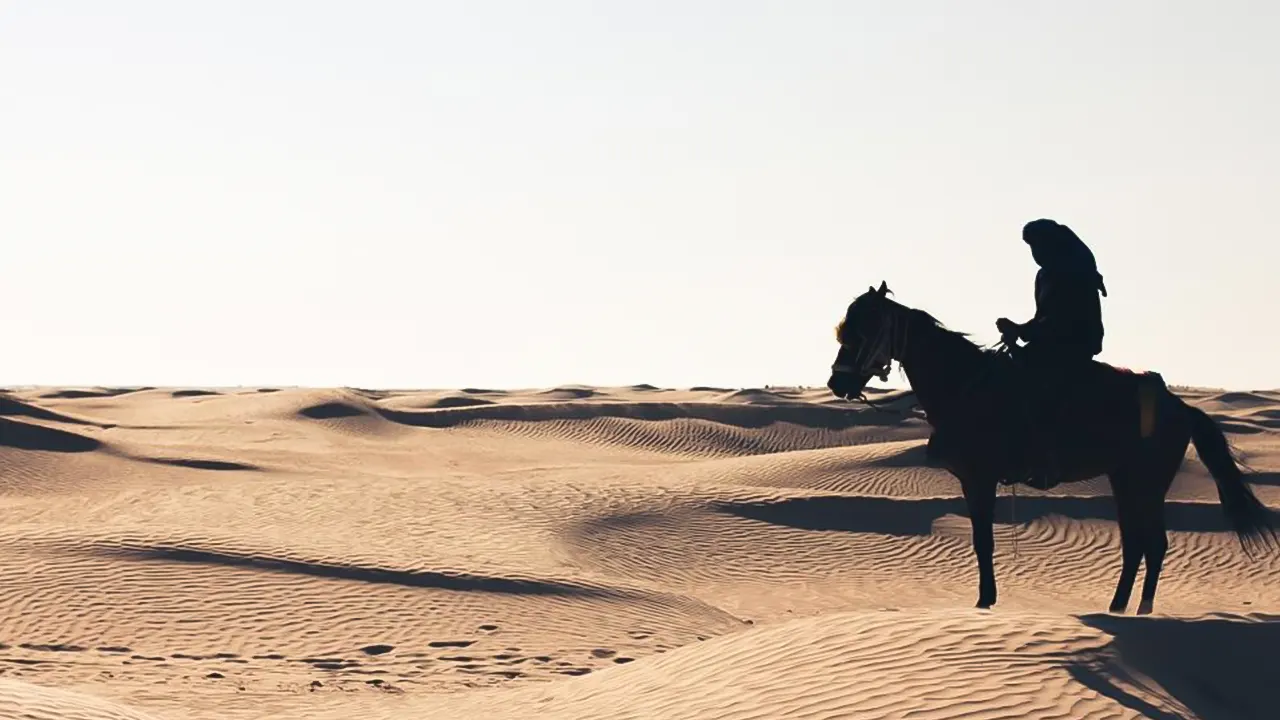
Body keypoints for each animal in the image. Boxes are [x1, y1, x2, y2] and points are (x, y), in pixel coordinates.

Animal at [824, 279, 1274, 609]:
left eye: (864, 330)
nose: (837, 382)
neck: (965, 385)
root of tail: (1180, 407)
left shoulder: (980, 478)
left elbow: (983, 541)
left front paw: (985, 602)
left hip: (1147, 482)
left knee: (1154, 544)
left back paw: (1139, 610)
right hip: (1125, 479)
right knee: (1136, 544)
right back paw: (1118, 607)